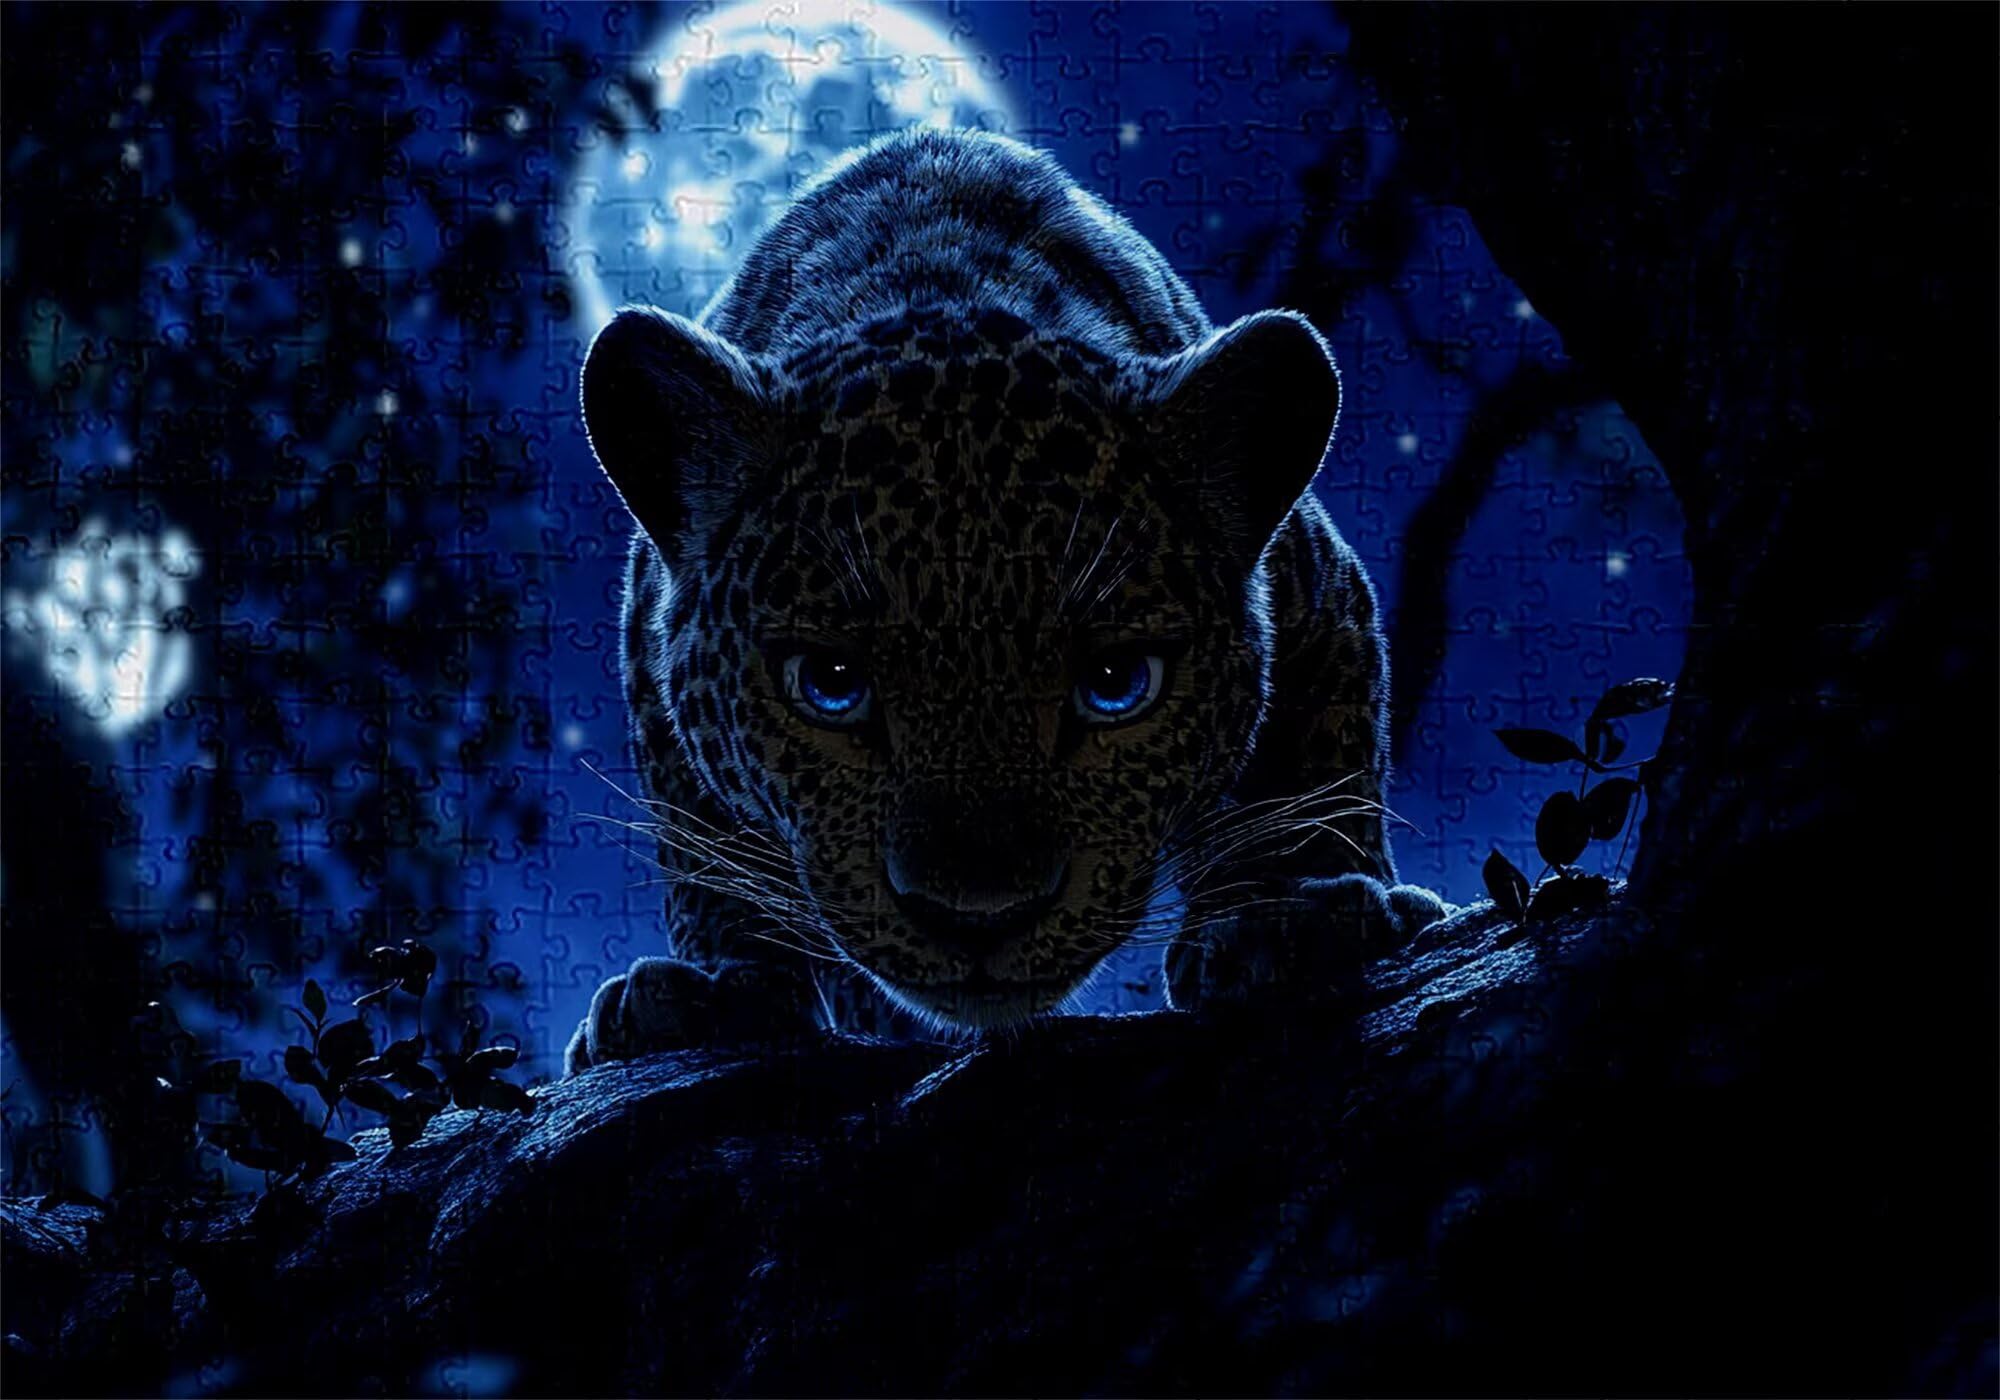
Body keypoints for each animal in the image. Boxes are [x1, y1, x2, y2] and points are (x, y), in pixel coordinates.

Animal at [565, 128, 1448, 1074]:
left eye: (1116, 682)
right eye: (829, 683)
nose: (978, 917)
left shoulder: (1320, 595)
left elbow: (1320, 769)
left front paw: (1296, 915)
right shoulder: (650, 647)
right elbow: (703, 848)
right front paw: (715, 990)